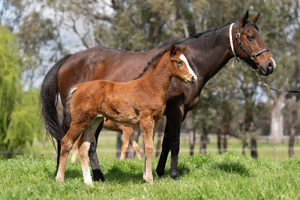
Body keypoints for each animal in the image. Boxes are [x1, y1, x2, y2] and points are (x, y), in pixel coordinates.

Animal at [55, 43, 197, 185]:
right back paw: (60, 179)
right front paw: (150, 180)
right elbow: (149, 147)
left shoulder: (154, 121)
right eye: (179, 62)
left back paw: (89, 183)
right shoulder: (146, 119)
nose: (193, 78)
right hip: (80, 120)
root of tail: (77, 88)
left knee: (83, 146)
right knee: (66, 142)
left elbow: (146, 146)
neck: (150, 86)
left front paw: (145, 177)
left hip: (93, 121)